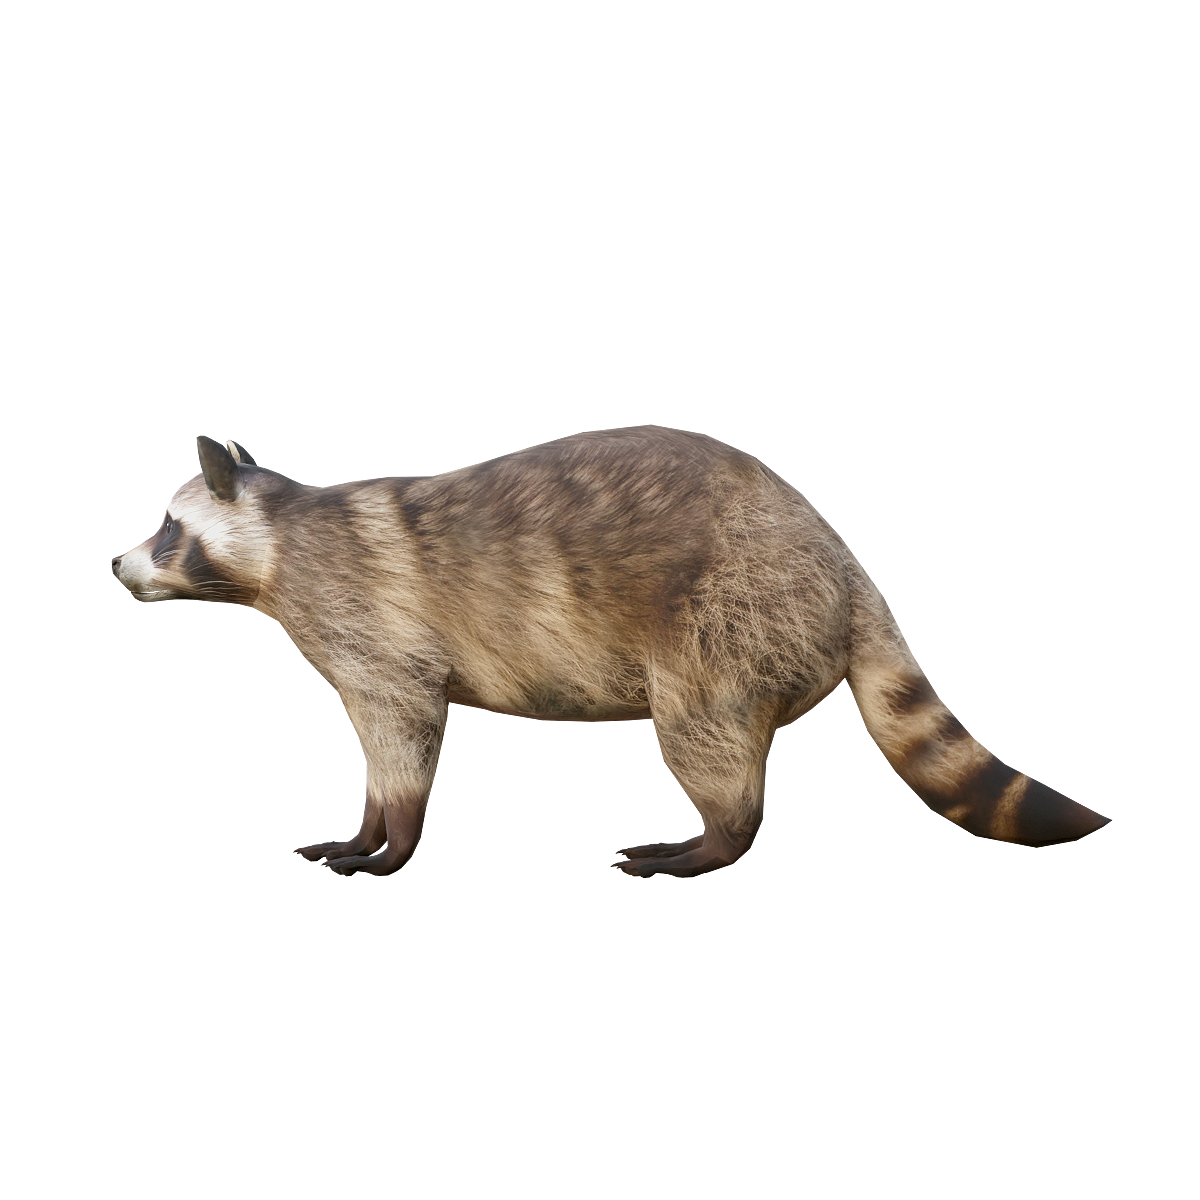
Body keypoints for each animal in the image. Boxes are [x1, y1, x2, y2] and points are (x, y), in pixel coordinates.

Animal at [112, 427, 1111, 876]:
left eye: (164, 531)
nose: (120, 572)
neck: (281, 535)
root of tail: (834, 551)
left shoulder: (361, 611)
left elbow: (404, 719)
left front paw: (391, 837)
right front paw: (369, 827)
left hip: (730, 604)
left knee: (703, 721)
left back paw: (717, 840)